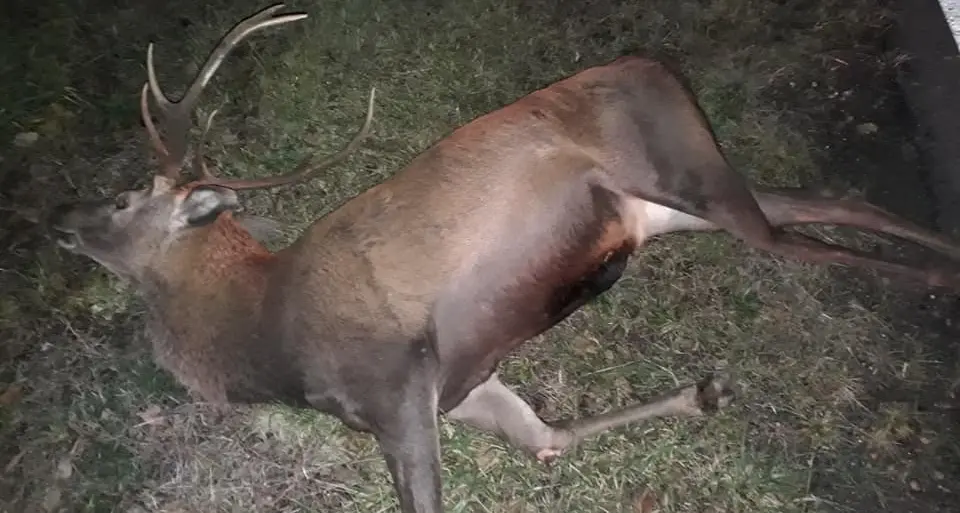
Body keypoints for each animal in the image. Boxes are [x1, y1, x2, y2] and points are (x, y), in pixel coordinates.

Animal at [45, 4, 960, 512]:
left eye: (124, 198)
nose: (59, 215)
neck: (266, 342)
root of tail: (653, 60)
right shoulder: (460, 388)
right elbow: (547, 439)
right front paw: (702, 392)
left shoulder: (397, 383)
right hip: (674, 199)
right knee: (843, 203)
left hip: (688, 174)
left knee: (796, 239)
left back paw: (941, 273)